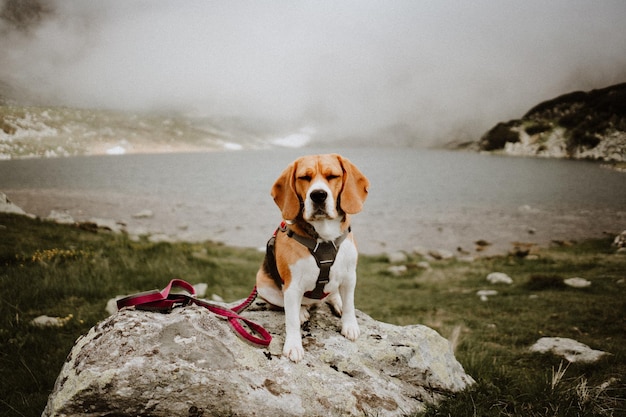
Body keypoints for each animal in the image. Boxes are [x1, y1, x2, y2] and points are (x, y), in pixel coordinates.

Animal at [256, 153, 368, 360]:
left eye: (332, 176)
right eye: (304, 178)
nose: (318, 195)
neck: (324, 237)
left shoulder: (350, 276)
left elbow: (349, 304)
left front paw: (350, 326)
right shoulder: (292, 287)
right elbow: (291, 320)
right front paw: (293, 345)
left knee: (332, 295)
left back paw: (336, 301)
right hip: (263, 286)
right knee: (289, 305)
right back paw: (302, 311)